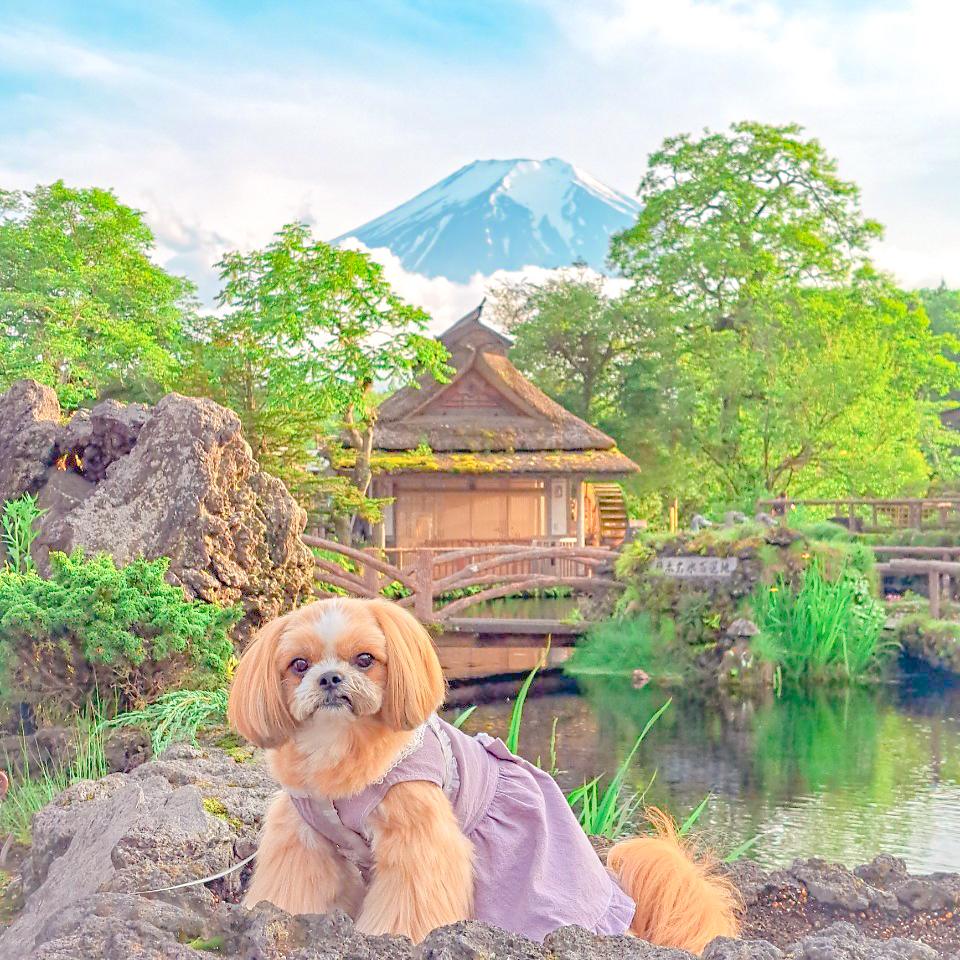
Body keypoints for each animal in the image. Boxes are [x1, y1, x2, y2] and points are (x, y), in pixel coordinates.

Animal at [229, 600, 740, 952]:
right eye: (299, 665)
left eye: (365, 659)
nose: (330, 678)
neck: (339, 747)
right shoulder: (303, 835)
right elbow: (294, 886)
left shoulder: (420, 840)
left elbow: (411, 900)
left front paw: (389, 937)